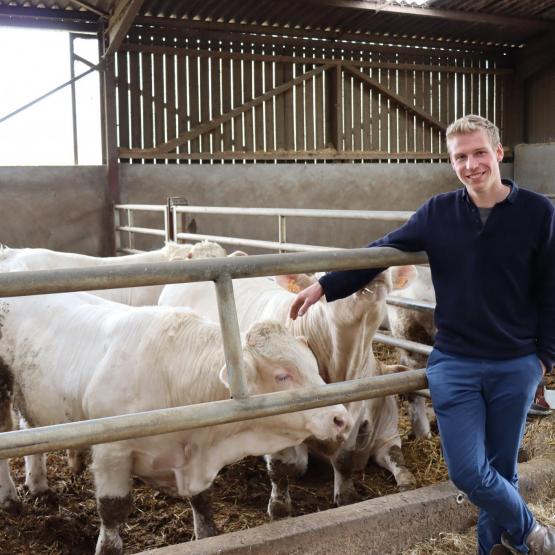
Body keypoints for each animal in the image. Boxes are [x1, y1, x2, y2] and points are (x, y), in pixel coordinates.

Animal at [0, 294, 352, 552]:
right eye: (282, 375)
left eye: (313, 367)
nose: (341, 418)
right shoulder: (112, 452)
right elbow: (112, 512)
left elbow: (203, 504)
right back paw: (11, 498)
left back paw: (39, 486)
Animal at [159, 272, 414, 520]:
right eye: (321, 278)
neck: (342, 366)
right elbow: (284, 466)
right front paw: (280, 508)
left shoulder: (356, 408)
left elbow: (344, 458)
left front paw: (346, 496)